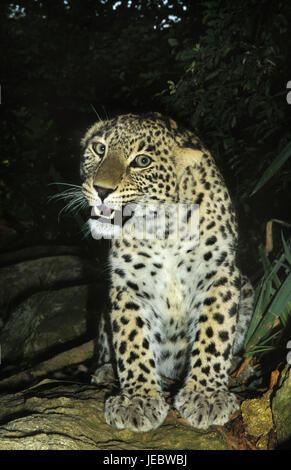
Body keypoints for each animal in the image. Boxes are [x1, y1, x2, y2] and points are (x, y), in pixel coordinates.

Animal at [79, 112, 253, 432]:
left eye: (142, 161)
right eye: (99, 149)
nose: (101, 190)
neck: (163, 229)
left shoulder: (218, 274)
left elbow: (215, 331)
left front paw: (206, 395)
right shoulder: (128, 285)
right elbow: (132, 340)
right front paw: (137, 400)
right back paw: (106, 372)